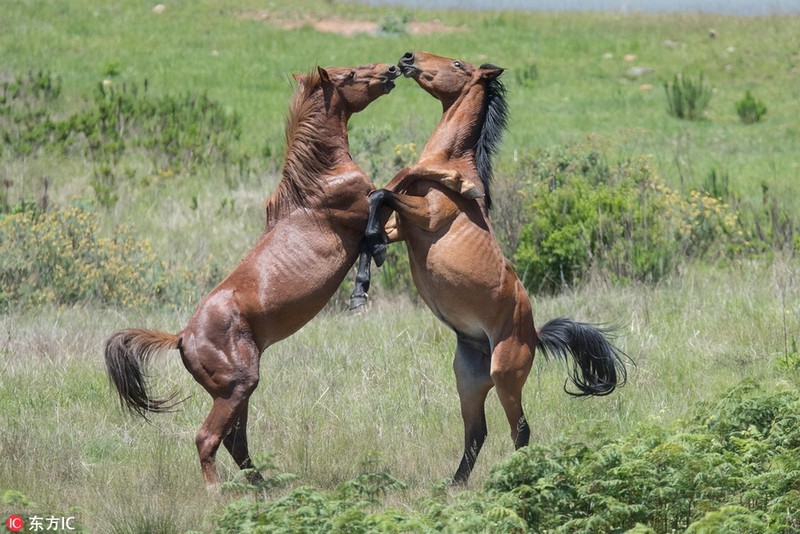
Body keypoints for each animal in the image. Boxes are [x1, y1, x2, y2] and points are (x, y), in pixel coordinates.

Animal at [105, 60, 400, 492]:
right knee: (208, 438)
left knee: (235, 440)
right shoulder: (363, 211)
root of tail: (181, 338)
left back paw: (261, 487)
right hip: (238, 388)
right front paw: (373, 262)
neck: (322, 178)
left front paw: (364, 280)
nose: (392, 69)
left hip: (236, 393)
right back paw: (217, 493)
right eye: (348, 75)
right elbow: (387, 198)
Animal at [354, 53, 628, 486]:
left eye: (457, 63)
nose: (408, 58)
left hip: (505, 376)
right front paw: (360, 284)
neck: (446, 166)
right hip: (468, 379)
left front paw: (371, 260)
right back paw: (454, 485)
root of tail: (533, 333)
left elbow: (380, 196)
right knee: (476, 432)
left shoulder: (426, 217)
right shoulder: (403, 228)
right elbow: (374, 215)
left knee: (521, 429)